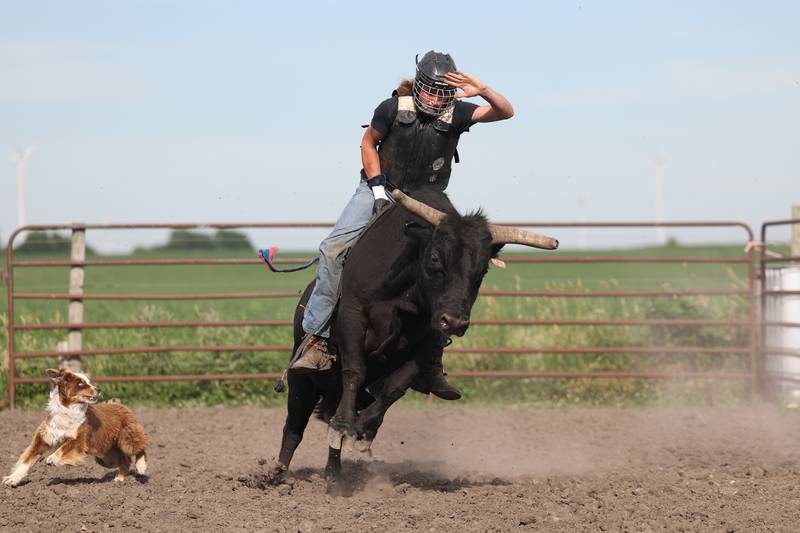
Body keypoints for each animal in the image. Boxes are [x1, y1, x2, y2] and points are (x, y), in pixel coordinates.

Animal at [1, 370, 150, 486]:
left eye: (88, 381)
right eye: (81, 383)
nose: (99, 389)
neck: (67, 410)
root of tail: (120, 406)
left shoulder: (79, 439)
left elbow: (62, 449)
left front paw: (51, 459)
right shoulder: (43, 438)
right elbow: (27, 461)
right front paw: (12, 479)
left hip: (127, 439)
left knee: (140, 446)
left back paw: (141, 466)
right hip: (105, 456)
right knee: (125, 460)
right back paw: (119, 479)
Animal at [268, 186, 556, 478]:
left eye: (483, 269)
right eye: (435, 258)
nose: (454, 322)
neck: (403, 295)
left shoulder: (426, 343)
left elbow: (394, 388)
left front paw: (361, 428)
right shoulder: (352, 315)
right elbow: (354, 370)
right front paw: (346, 425)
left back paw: (333, 472)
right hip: (302, 381)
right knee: (294, 426)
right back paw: (279, 473)